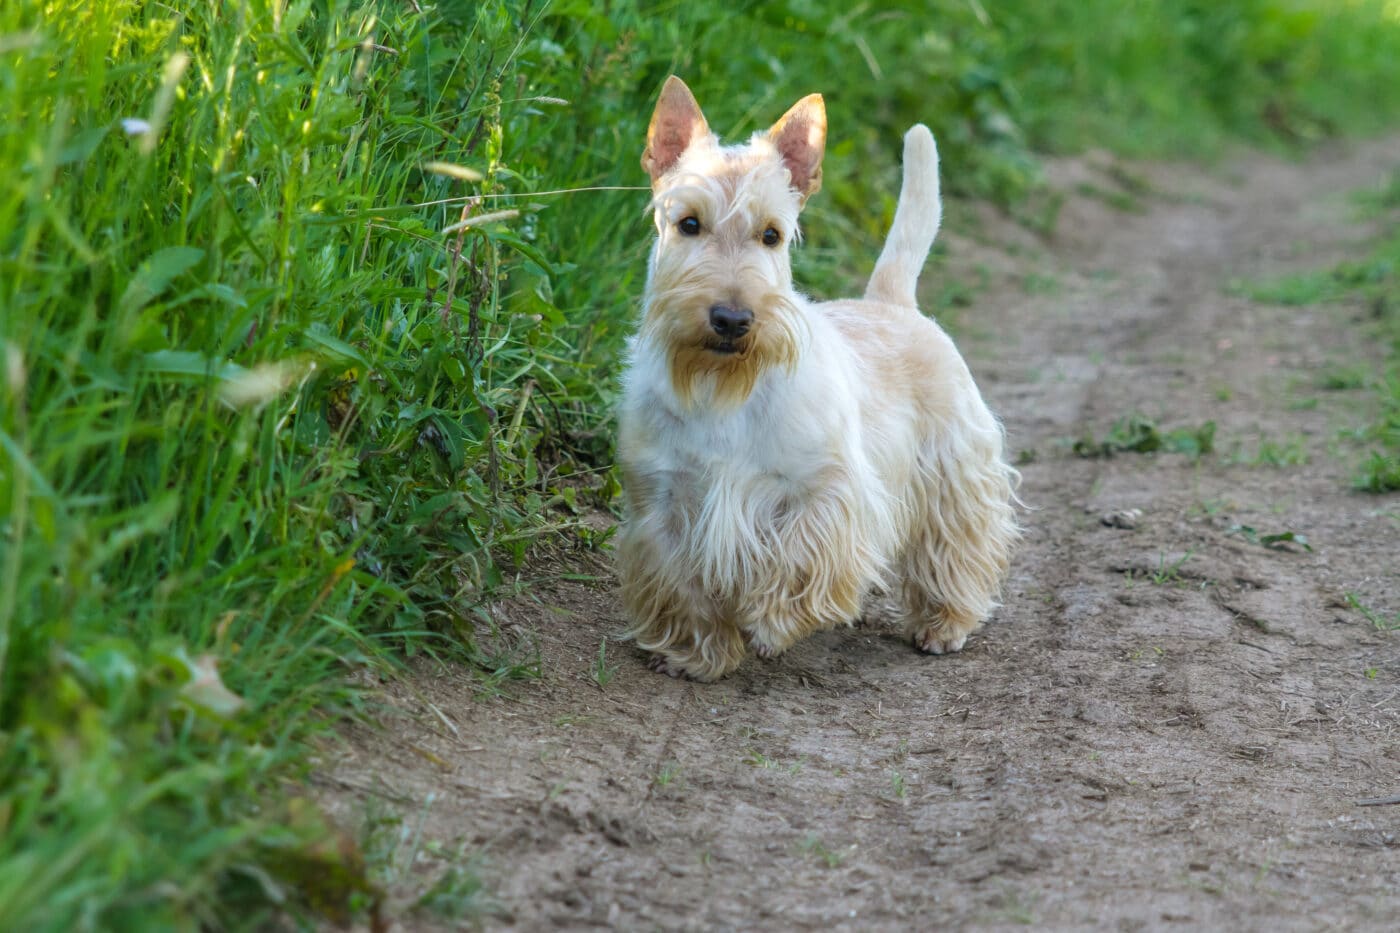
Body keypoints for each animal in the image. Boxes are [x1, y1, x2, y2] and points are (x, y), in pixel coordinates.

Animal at [616, 76, 1019, 680]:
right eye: (688, 223)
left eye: (772, 235)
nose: (732, 319)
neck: (721, 385)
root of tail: (890, 301)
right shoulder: (663, 503)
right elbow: (685, 585)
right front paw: (698, 653)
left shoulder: (826, 489)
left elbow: (802, 559)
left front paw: (769, 621)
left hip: (954, 466)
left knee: (956, 546)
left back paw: (943, 624)